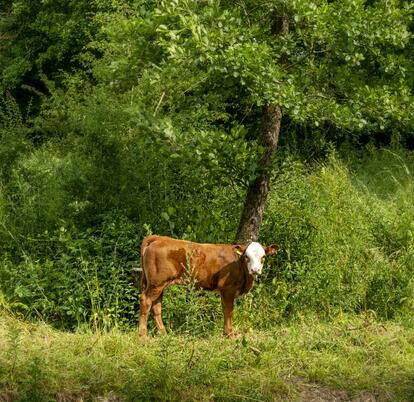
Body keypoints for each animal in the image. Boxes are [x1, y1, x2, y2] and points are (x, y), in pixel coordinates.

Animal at [138, 234, 278, 338]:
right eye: (246, 257)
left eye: (263, 257)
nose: (255, 270)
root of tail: (158, 238)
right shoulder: (228, 288)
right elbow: (229, 311)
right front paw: (230, 334)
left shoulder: (224, 291)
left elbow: (225, 310)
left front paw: (226, 333)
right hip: (157, 283)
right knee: (146, 301)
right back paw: (143, 337)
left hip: (159, 284)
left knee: (156, 306)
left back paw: (164, 334)